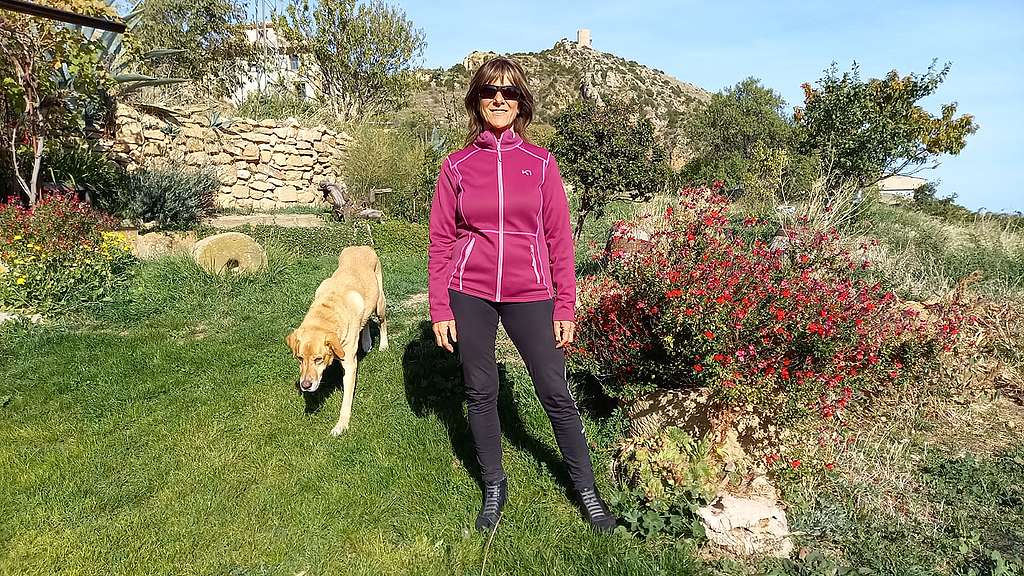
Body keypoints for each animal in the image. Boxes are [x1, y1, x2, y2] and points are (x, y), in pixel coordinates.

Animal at [286, 242, 389, 434]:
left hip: (380, 303)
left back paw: (383, 345)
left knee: (382, 322)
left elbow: (346, 401)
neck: (327, 312)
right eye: (300, 358)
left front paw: (341, 425)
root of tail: (361, 245)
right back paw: (366, 343)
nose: (305, 385)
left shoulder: (349, 364)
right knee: (364, 322)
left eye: (318, 359)